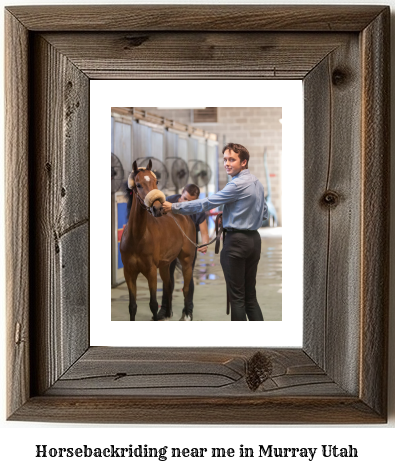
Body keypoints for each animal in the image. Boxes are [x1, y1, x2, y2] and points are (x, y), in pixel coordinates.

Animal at [119, 160, 196, 322]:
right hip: (165, 265)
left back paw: (186, 315)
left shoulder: (151, 271)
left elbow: (153, 304)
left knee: (186, 288)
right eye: (138, 185)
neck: (137, 237)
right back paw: (167, 314)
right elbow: (132, 306)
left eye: (156, 181)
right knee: (169, 286)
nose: (158, 208)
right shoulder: (129, 272)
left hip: (186, 261)